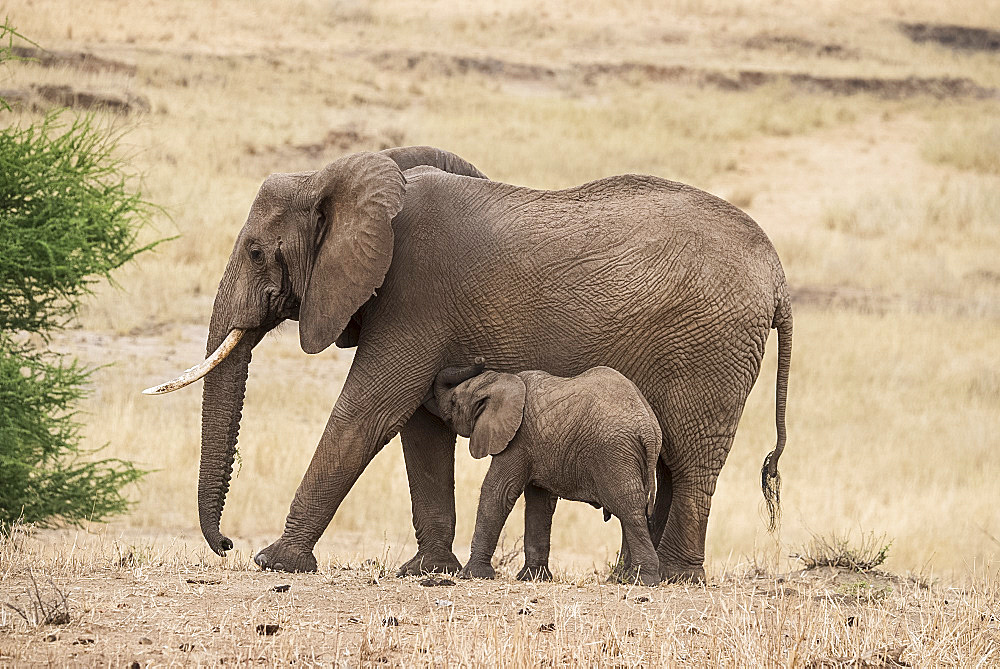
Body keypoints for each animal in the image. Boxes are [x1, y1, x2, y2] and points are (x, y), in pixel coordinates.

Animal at [432, 358, 660, 580]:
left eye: (454, 402)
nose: (479, 359)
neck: (503, 382)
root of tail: (649, 430)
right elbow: (539, 503)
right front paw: (533, 577)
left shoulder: (518, 439)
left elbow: (498, 491)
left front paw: (471, 575)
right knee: (632, 509)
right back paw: (624, 578)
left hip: (613, 453)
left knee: (629, 509)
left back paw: (642, 579)